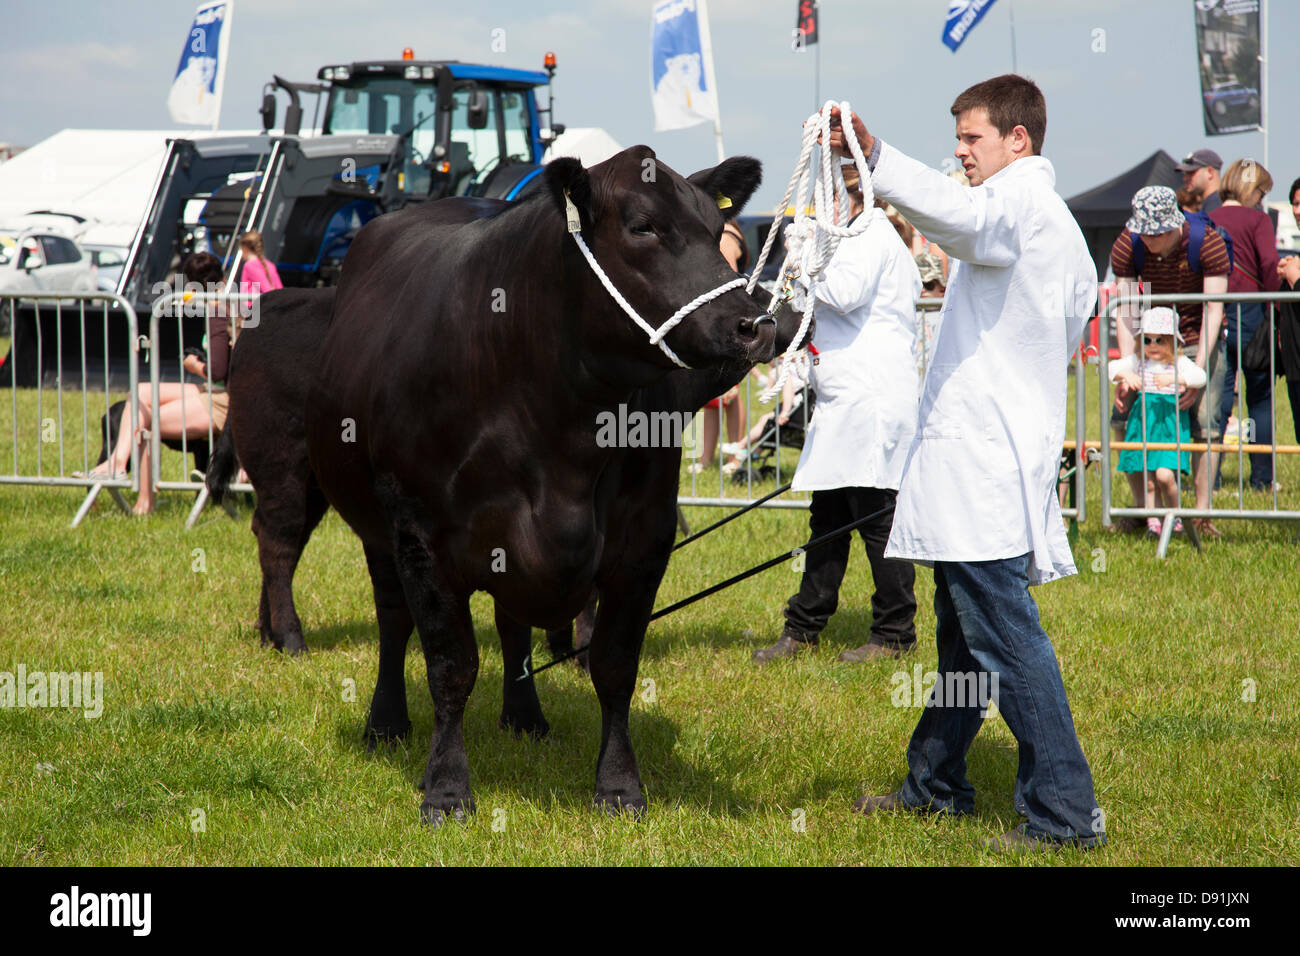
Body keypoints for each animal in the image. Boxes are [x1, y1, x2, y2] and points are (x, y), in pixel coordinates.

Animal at [209, 147, 806, 822]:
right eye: (642, 226)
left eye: (716, 228)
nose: (758, 324)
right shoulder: (422, 536)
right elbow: (450, 665)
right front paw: (446, 788)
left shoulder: (644, 539)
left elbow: (613, 665)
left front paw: (619, 786)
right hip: (305, 481)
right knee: (328, 577)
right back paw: (341, 683)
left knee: (508, 620)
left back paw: (524, 716)